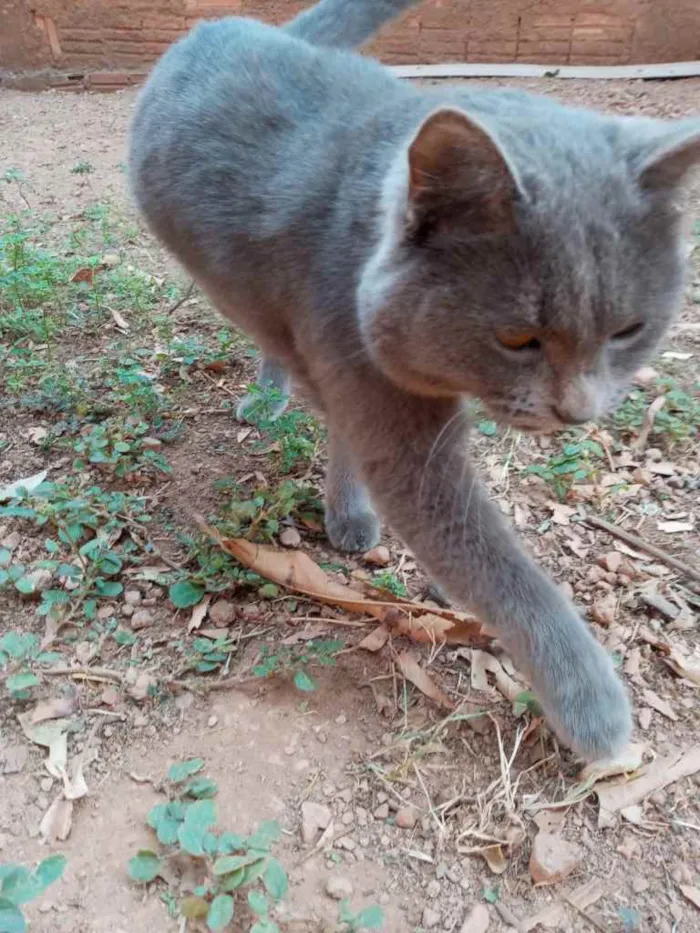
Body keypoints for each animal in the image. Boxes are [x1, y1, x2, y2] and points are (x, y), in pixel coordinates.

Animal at [129, 0, 696, 760]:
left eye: (628, 330)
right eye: (518, 338)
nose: (579, 411)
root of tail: (248, 26)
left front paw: (361, 520)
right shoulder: (392, 422)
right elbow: (498, 568)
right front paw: (595, 707)